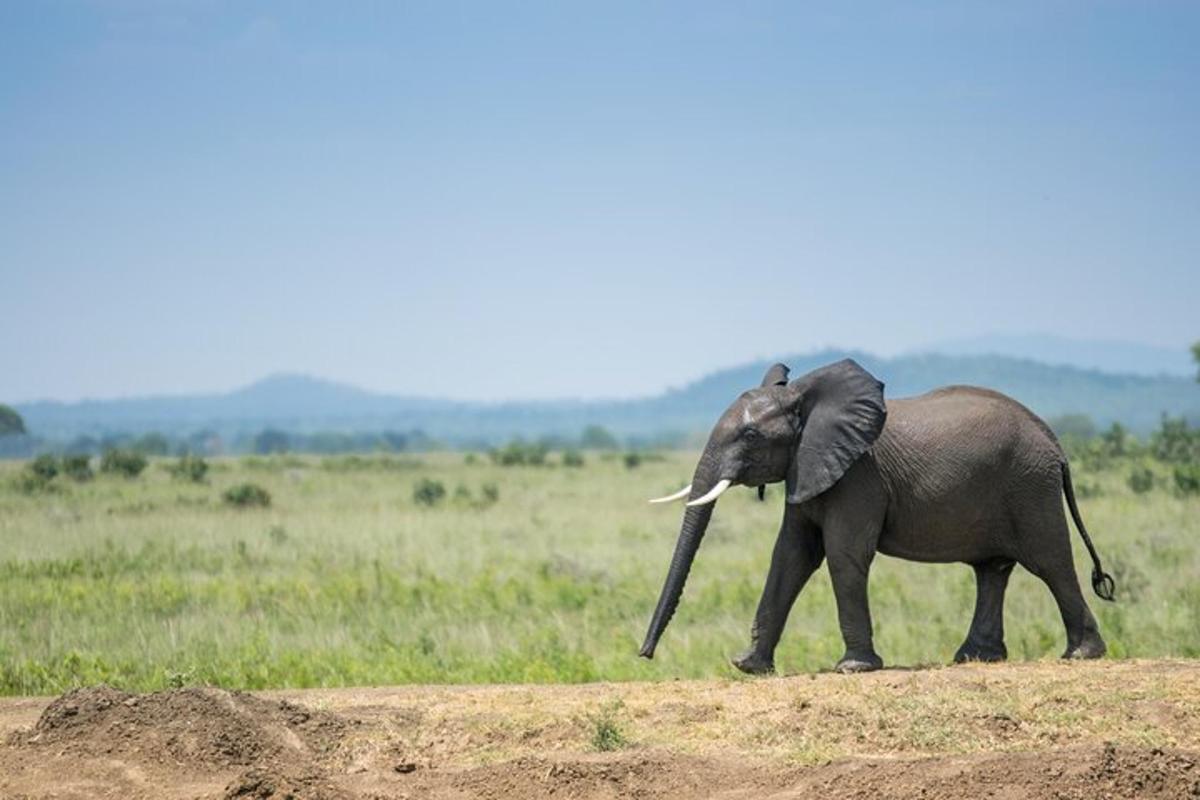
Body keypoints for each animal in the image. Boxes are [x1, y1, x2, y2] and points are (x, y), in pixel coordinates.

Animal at [638, 359, 1113, 671]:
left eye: (751, 435)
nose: (644, 655)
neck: (804, 398)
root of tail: (1055, 443)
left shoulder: (859, 476)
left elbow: (843, 555)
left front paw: (852, 668)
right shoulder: (807, 467)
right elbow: (790, 556)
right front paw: (749, 666)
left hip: (1029, 485)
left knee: (1050, 561)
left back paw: (1081, 655)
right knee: (991, 569)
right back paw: (974, 658)